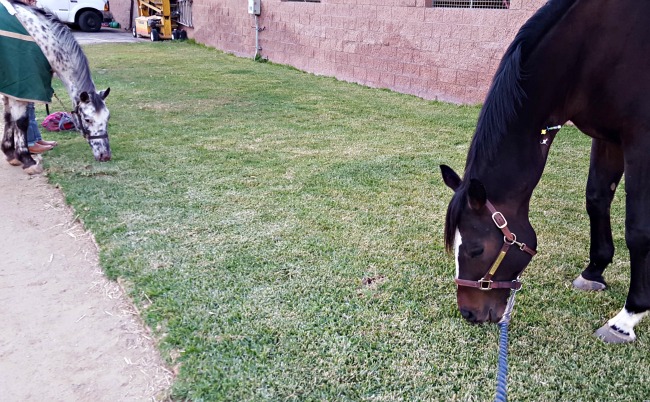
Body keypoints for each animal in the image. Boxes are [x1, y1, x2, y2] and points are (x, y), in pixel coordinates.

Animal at [0, 0, 110, 174]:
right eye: (87, 119)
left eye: (107, 118)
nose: (105, 156)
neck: (40, 38)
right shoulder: (20, 88)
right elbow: (21, 122)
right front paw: (26, 159)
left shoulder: (10, 90)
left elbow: (8, 118)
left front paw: (10, 153)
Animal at [438, 0, 648, 344]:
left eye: (475, 248)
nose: (468, 313)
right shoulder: (608, 138)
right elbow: (596, 199)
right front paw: (594, 271)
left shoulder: (641, 141)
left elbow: (639, 230)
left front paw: (627, 318)